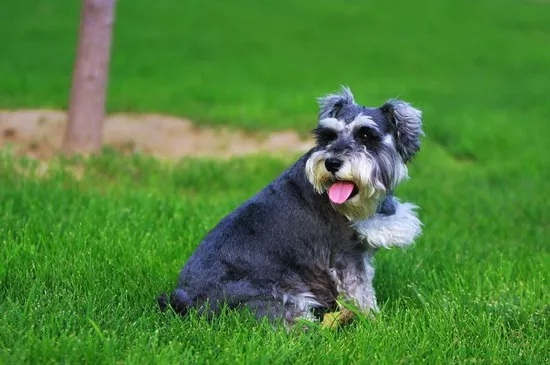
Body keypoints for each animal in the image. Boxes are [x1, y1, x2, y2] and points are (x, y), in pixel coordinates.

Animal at [157, 86, 424, 324]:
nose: (332, 163)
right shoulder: (345, 255)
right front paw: (373, 322)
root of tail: (184, 300)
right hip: (280, 298)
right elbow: (360, 292)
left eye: (366, 135)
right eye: (329, 136)